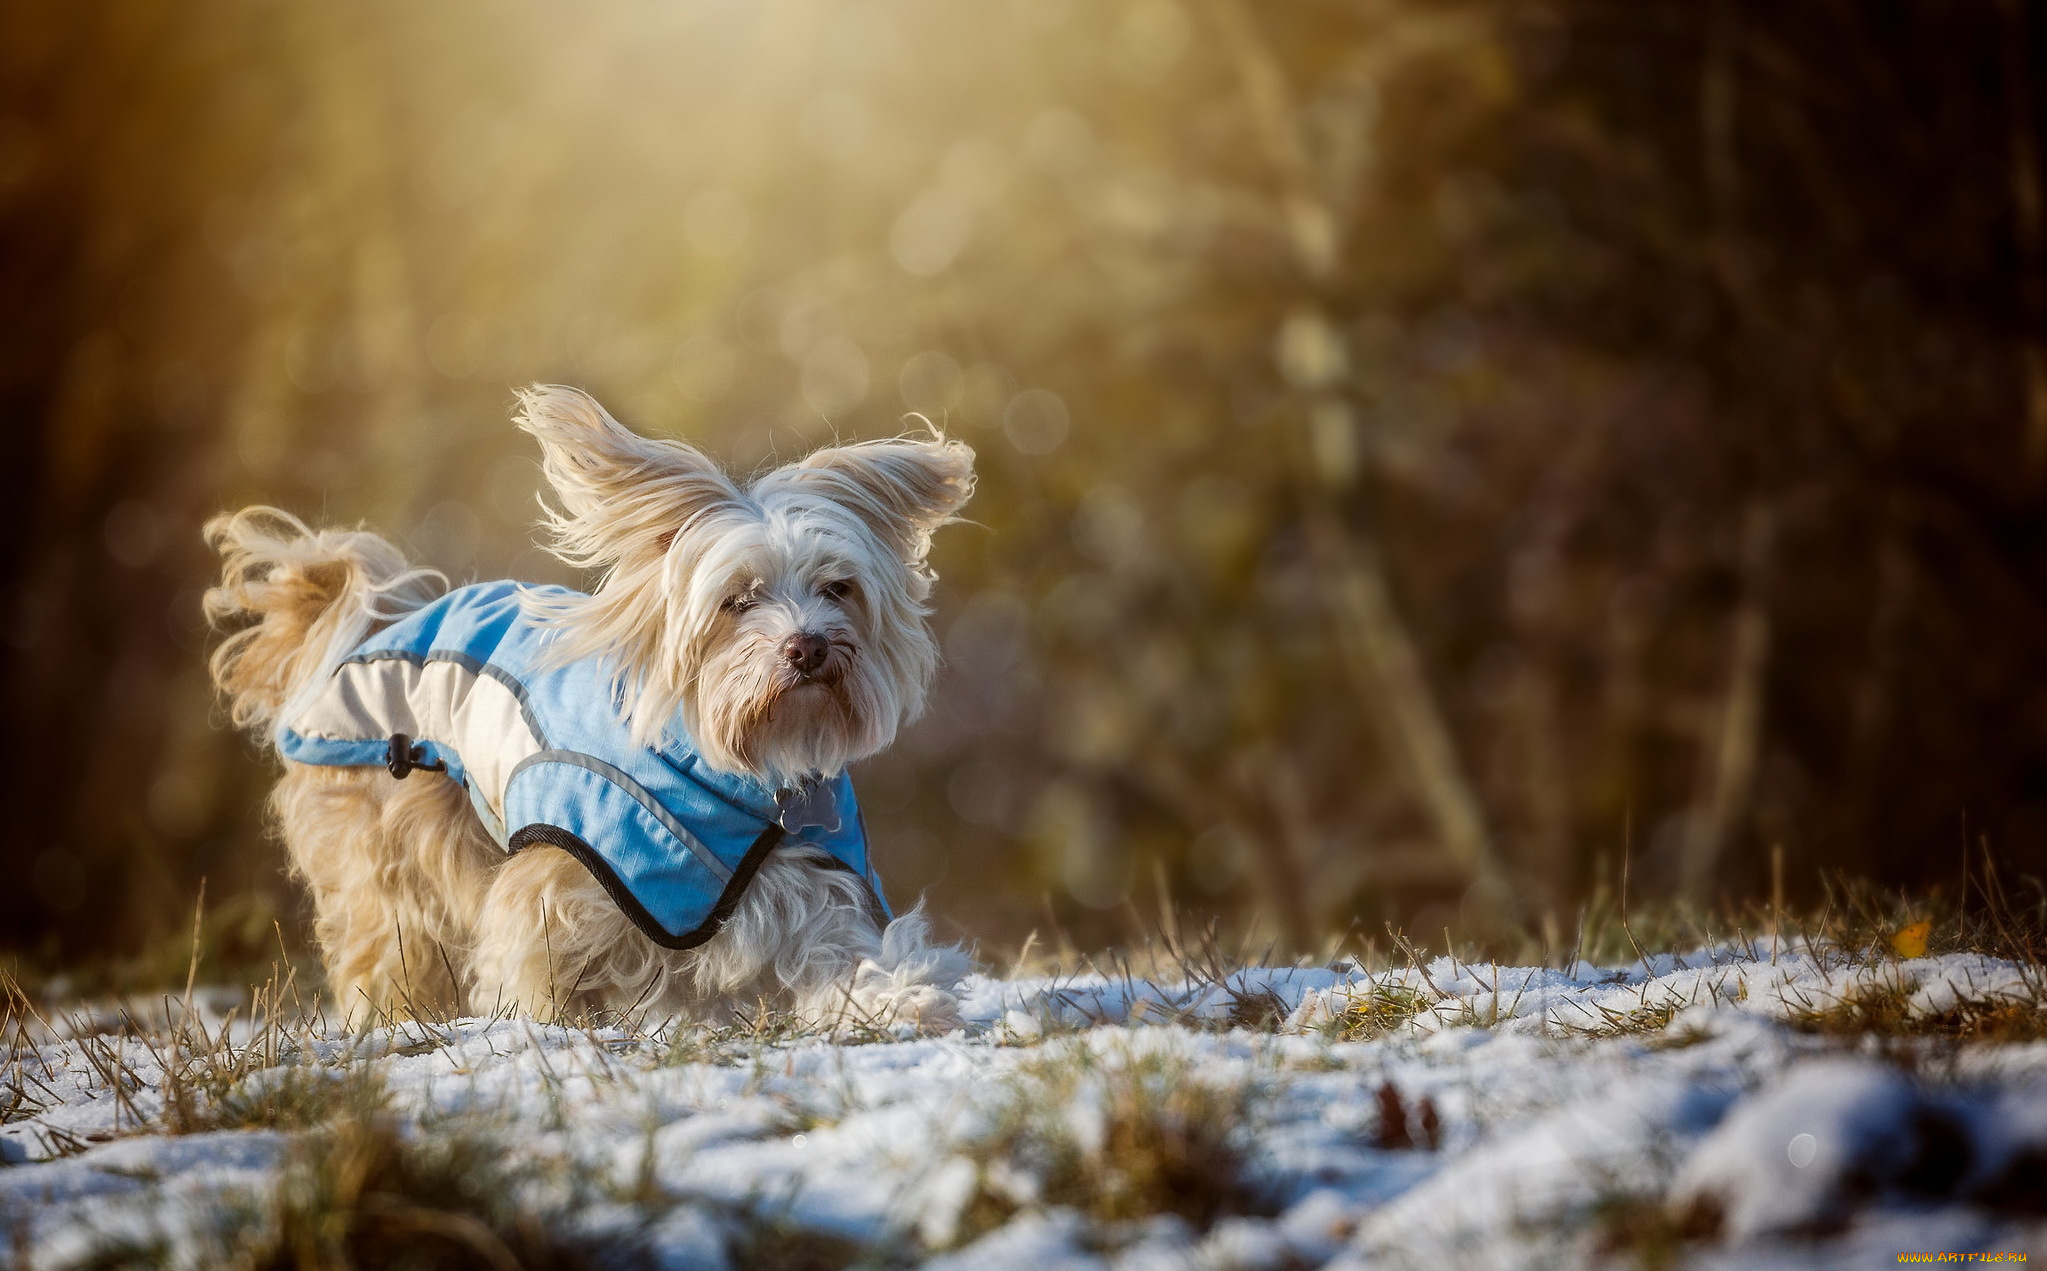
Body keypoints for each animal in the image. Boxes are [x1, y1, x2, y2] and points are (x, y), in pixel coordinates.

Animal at [203, 386, 970, 1031]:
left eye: (838, 588)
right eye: (737, 600)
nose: (808, 646)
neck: (738, 774)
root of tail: (370, 627)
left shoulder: (809, 875)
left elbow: (843, 952)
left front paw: (900, 998)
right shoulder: (566, 875)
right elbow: (543, 952)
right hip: (393, 848)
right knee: (389, 938)